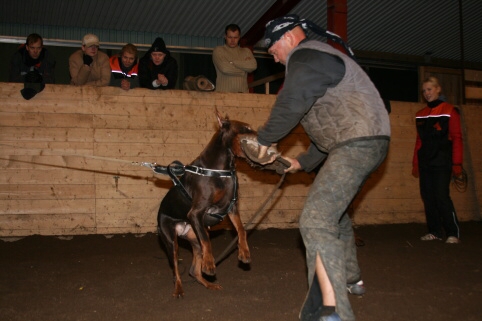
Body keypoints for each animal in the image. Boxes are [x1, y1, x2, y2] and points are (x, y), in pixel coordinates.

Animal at [158, 109, 256, 296]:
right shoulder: (196, 213)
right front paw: (210, 264)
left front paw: (244, 253)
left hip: (193, 236)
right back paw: (179, 288)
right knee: (176, 268)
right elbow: (207, 242)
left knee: (193, 269)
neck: (222, 169)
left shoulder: (232, 207)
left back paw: (208, 284)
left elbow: (241, 229)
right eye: (246, 128)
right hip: (171, 239)